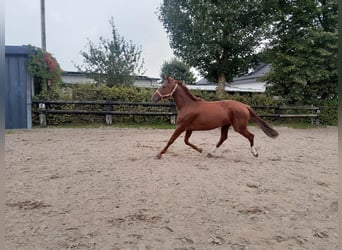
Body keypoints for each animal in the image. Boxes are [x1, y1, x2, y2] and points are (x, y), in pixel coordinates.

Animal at [151, 76, 280, 158]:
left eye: (164, 86)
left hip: (239, 127)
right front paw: (200, 150)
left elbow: (171, 140)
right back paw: (210, 153)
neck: (188, 105)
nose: (153, 98)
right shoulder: (189, 128)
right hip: (226, 125)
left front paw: (159, 154)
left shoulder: (182, 127)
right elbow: (186, 141)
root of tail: (245, 106)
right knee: (223, 138)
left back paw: (255, 153)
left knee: (251, 136)